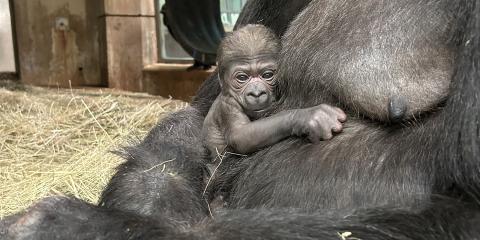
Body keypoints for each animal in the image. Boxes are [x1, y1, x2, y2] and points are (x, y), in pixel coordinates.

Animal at [202, 24, 344, 158]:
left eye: (267, 75)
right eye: (242, 78)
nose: (256, 93)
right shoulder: (227, 105)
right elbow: (240, 136)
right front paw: (305, 116)